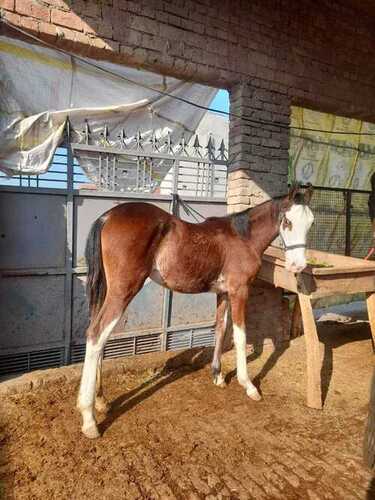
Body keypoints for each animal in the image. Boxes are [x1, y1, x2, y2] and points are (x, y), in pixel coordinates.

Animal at [76, 184, 314, 438]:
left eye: (310, 223)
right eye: (287, 221)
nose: (298, 266)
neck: (243, 238)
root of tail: (107, 217)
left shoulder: (223, 293)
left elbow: (220, 329)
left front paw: (218, 375)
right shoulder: (239, 291)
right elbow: (240, 336)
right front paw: (249, 386)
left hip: (106, 291)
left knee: (98, 335)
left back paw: (101, 401)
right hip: (123, 291)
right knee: (96, 334)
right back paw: (89, 419)